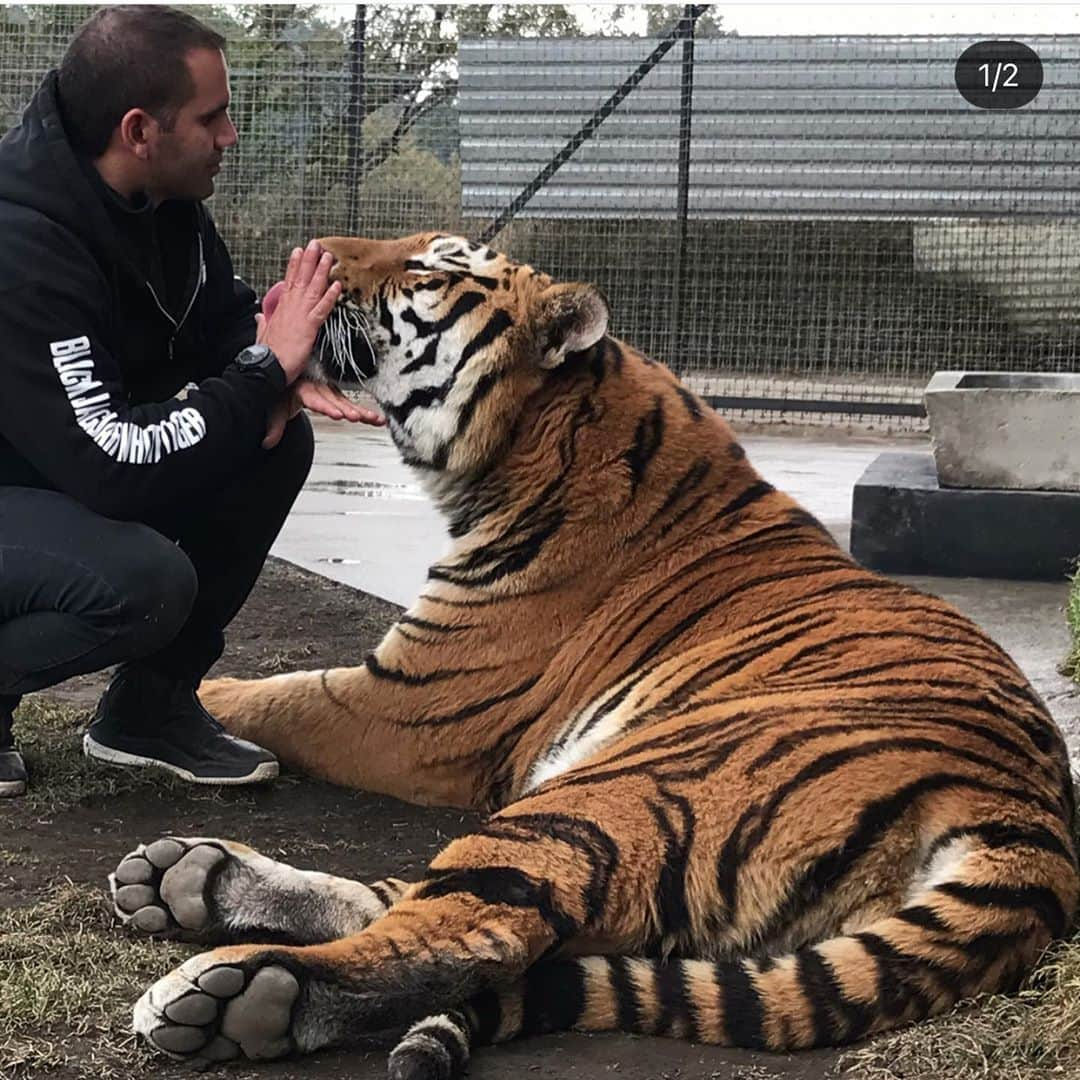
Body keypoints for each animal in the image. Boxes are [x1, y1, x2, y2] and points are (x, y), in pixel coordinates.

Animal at [111, 232, 1080, 1075]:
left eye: (429, 267)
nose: (305, 256)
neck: (535, 445)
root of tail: (1030, 825)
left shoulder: (400, 706)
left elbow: (262, 692)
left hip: (616, 791)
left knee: (470, 932)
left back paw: (241, 991)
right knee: (433, 904)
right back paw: (190, 878)